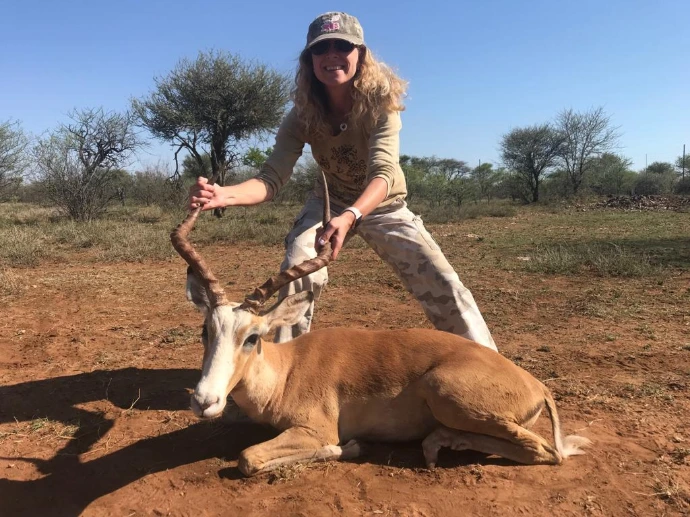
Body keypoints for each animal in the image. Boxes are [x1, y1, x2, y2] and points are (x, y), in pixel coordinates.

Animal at [170, 174, 591, 477]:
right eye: (206, 331)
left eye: (253, 337)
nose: (203, 401)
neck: (286, 371)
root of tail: (536, 386)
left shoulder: (314, 428)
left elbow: (248, 458)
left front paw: (352, 446)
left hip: (447, 392)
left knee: (546, 452)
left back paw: (437, 444)